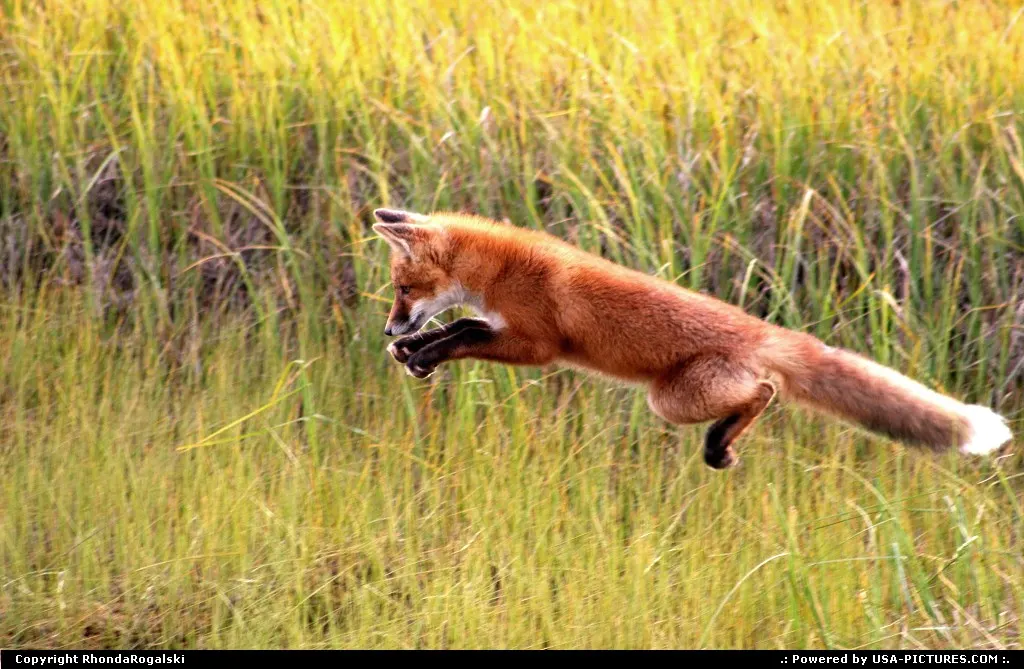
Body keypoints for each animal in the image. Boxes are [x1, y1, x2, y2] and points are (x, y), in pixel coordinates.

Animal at [372, 207, 1013, 468]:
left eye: (403, 289)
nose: (388, 327)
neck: (502, 271)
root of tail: (768, 332)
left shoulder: (535, 345)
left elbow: (461, 336)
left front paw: (422, 351)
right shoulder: (502, 325)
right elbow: (460, 325)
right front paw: (414, 352)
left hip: (672, 399)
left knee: (765, 394)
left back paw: (719, 446)